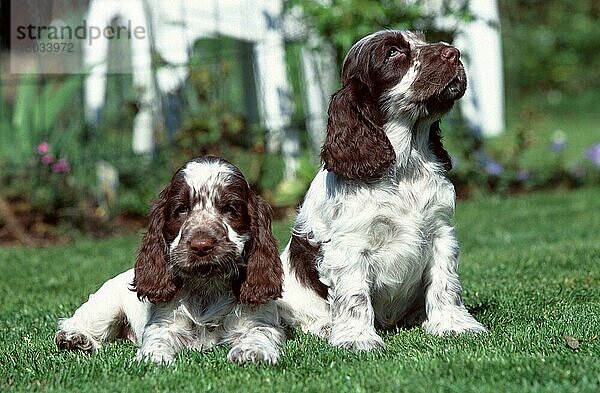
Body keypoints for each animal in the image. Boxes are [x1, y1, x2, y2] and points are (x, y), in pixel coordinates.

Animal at [55, 155, 284, 362]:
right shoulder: (163, 323)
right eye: (181, 209)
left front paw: (251, 352)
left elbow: (260, 334)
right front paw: (153, 356)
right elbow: (157, 337)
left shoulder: (260, 320)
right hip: (105, 307)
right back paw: (75, 338)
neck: (207, 286)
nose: (201, 245)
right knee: (75, 321)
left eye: (229, 209)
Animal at [278, 29, 488, 350]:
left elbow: (445, 283)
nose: (454, 52)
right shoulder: (349, 246)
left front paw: (454, 325)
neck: (405, 164)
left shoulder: (441, 232)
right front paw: (356, 339)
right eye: (392, 53)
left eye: (422, 40)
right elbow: (354, 296)